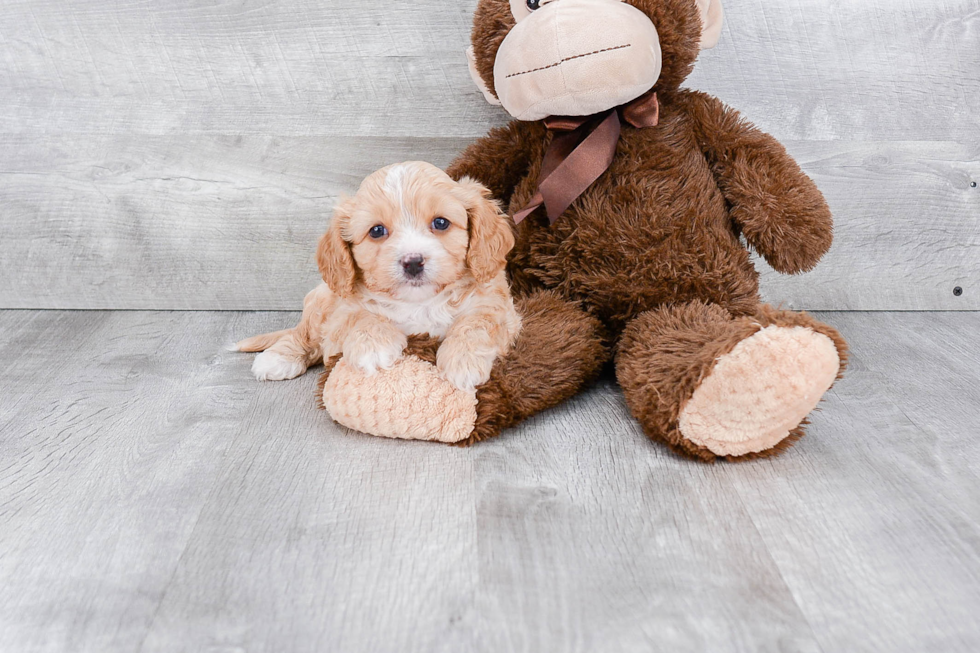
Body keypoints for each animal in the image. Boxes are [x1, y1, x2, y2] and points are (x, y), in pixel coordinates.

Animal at [234, 162, 524, 392]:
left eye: (441, 223)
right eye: (376, 231)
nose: (413, 262)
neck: (419, 303)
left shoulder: (499, 306)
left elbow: (478, 322)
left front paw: (462, 361)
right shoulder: (341, 311)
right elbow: (360, 316)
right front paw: (373, 347)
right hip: (319, 302)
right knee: (302, 334)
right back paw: (278, 358)